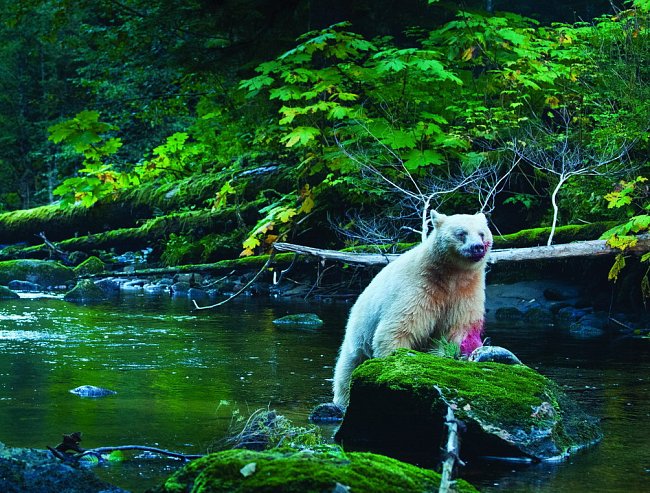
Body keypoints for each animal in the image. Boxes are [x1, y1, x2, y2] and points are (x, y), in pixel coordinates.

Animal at [332, 211, 488, 408]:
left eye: (482, 233)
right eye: (461, 233)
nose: (478, 247)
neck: (450, 275)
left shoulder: (466, 292)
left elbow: (457, 329)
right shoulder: (419, 288)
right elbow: (400, 327)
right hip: (358, 335)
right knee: (346, 370)